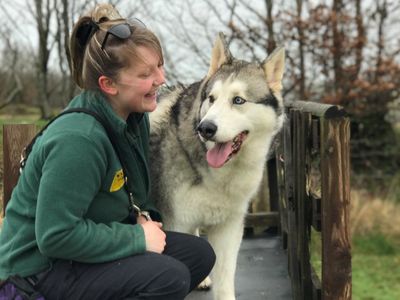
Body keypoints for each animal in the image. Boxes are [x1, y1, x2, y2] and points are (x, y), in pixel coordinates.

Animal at [149, 32, 284, 300]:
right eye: (211, 99)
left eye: (238, 100)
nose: (206, 128)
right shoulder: (176, 223)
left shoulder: (228, 229)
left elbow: (225, 280)